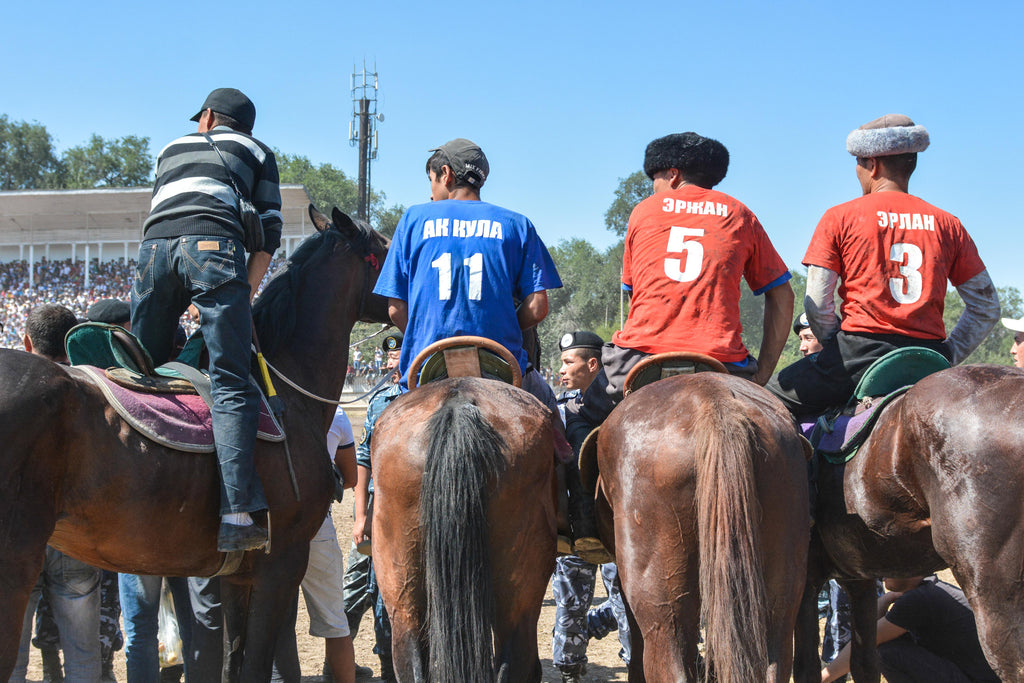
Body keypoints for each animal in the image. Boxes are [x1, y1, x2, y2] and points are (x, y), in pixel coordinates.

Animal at [0, 205, 391, 679]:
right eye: (389, 250)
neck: (284, 386)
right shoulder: (281, 564)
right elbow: (255, 663)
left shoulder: (236, 575)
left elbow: (230, 659)